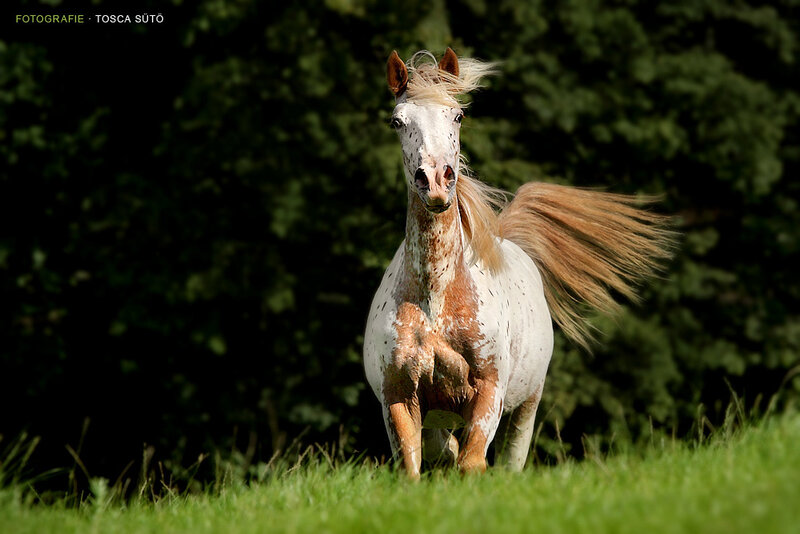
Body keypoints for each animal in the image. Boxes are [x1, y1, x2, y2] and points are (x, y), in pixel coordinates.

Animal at [363, 48, 673, 478]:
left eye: (458, 115)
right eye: (397, 121)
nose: (437, 182)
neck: (435, 297)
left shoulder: (489, 392)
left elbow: (473, 462)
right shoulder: (399, 399)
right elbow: (415, 466)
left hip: (526, 405)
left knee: (510, 459)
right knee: (445, 447)